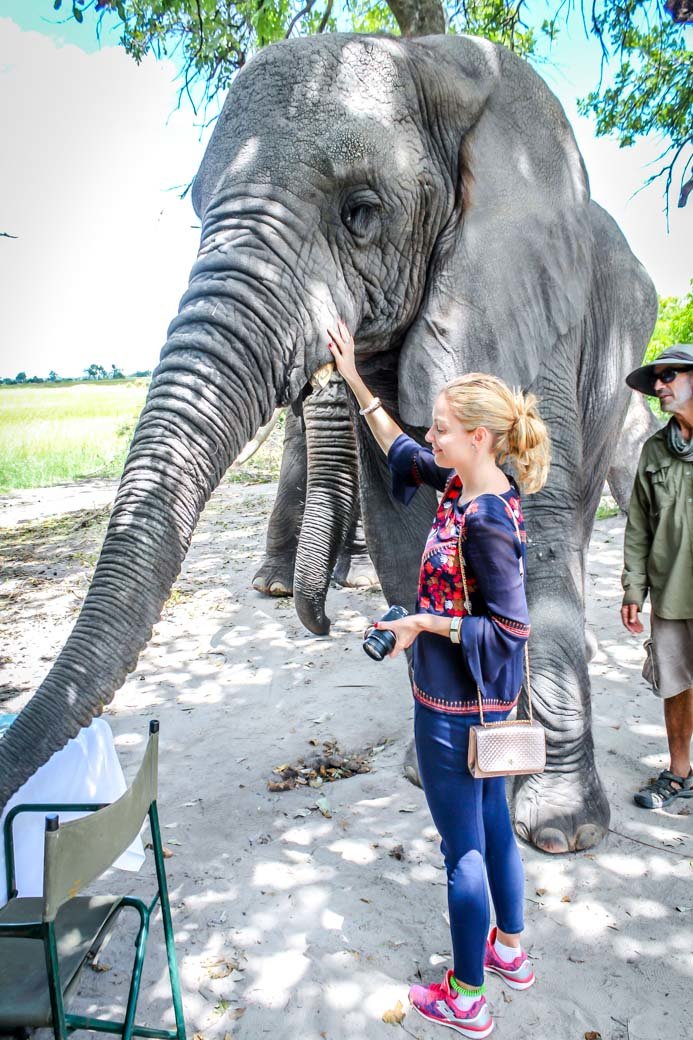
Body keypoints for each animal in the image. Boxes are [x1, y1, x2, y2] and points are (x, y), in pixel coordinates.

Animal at [1, 36, 657, 856]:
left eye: (361, 214)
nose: (320, 620)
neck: (438, 63)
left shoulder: (527, 300)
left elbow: (526, 539)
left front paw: (562, 831)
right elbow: (408, 531)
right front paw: (431, 768)